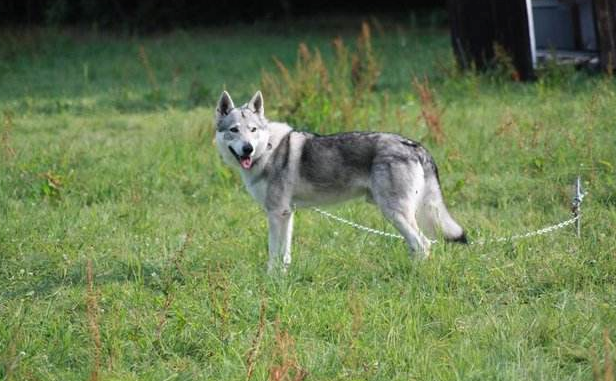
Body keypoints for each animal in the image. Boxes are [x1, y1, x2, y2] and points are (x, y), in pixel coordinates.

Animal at [217, 90, 466, 272]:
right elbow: (284, 254)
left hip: (394, 213)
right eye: (234, 130)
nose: (247, 149)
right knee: (418, 246)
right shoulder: (287, 213)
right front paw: (283, 277)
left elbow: (273, 254)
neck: (267, 150)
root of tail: (415, 145)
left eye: (253, 130)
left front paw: (270, 280)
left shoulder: (276, 213)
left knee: (423, 245)